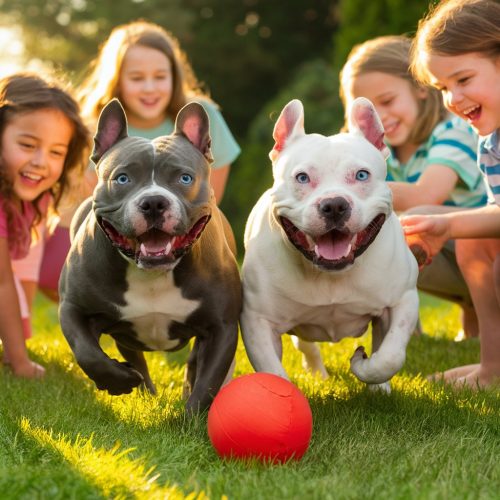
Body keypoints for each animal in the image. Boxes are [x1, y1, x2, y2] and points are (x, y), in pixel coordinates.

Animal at [240, 96, 420, 386]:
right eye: (302, 177)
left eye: (362, 175)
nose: (334, 205)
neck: (331, 275)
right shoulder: (257, 321)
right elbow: (273, 372)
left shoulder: (403, 301)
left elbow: (389, 356)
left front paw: (364, 367)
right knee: (306, 346)